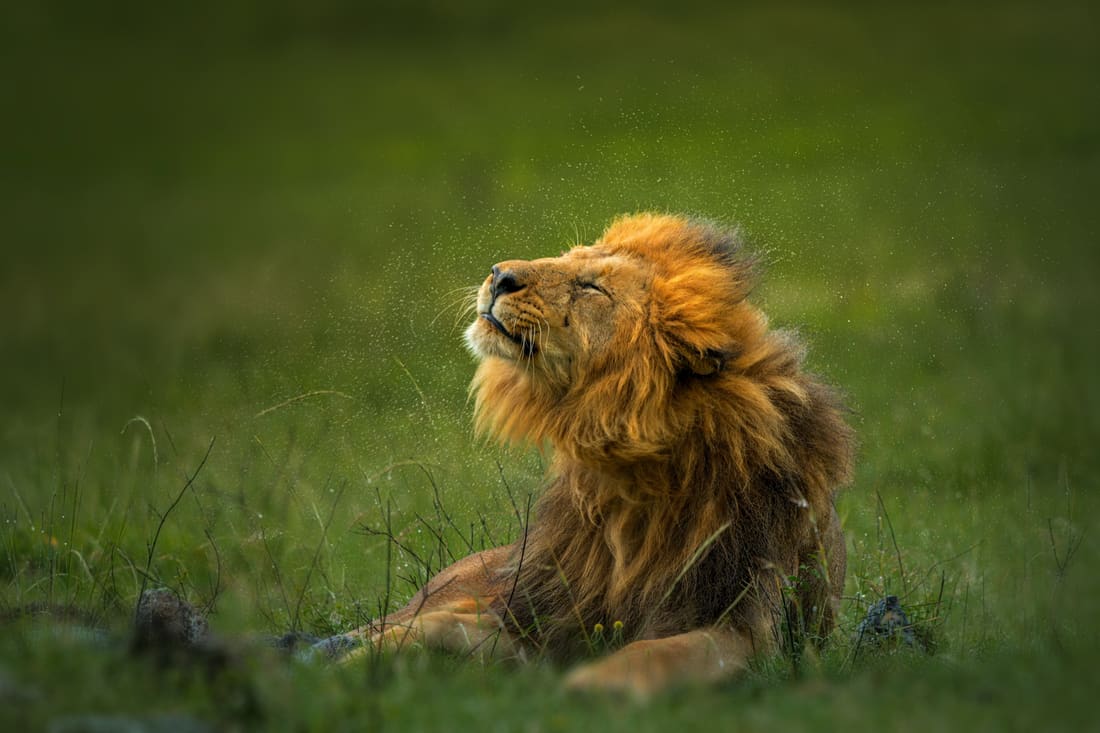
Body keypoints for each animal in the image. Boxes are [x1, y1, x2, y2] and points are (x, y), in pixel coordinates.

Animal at [344, 213, 855, 698]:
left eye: (592, 288)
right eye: (569, 257)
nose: (498, 275)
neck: (630, 476)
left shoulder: (747, 623)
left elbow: (661, 650)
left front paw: (594, 683)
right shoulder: (543, 614)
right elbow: (447, 628)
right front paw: (354, 661)